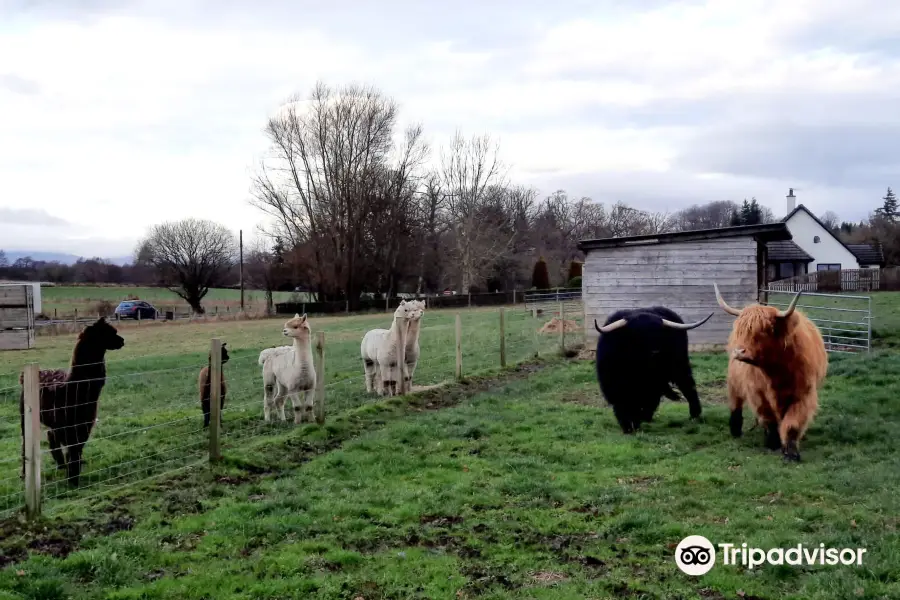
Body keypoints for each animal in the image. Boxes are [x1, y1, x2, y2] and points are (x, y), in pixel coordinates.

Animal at [712, 284, 828, 462]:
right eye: (741, 330)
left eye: (763, 330)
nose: (739, 351)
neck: (775, 372)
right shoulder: (757, 393)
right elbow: (769, 418)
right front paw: (772, 442)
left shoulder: (803, 394)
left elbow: (792, 423)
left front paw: (791, 452)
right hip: (734, 382)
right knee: (735, 403)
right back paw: (735, 429)